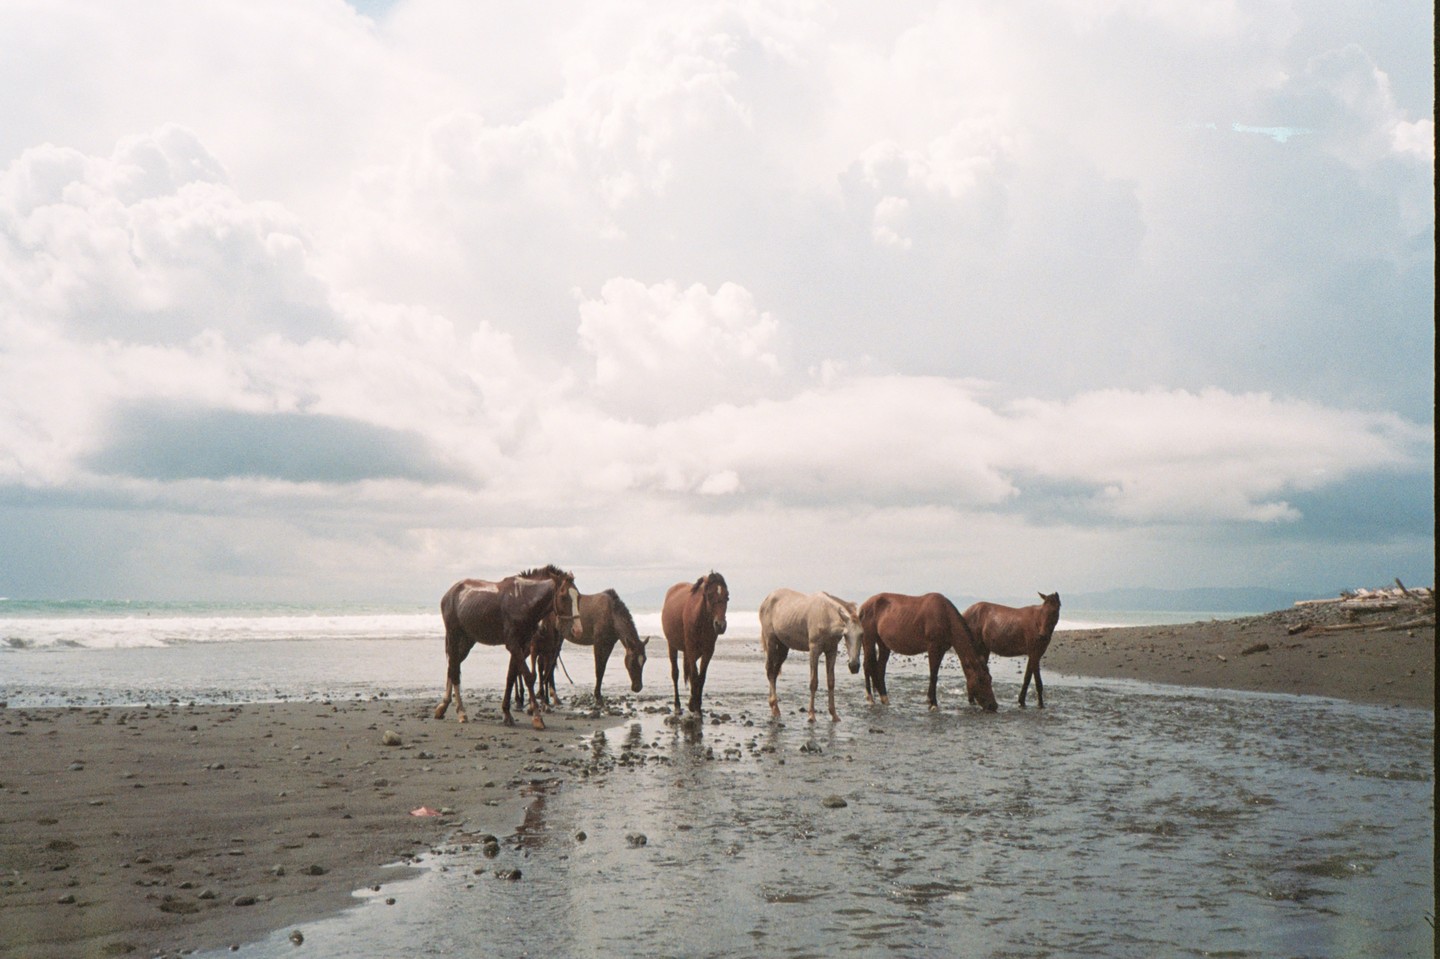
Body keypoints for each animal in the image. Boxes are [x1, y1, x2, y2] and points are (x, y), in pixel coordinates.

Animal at [434, 568, 580, 729]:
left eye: (578, 596)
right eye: (563, 596)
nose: (576, 630)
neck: (523, 600)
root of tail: (450, 593)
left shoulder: (522, 645)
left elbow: (511, 676)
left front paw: (507, 713)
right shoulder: (514, 644)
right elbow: (528, 676)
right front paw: (536, 716)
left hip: (467, 640)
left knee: (453, 666)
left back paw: (443, 706)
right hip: (454, 635)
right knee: (454, 669)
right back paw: (461, 712)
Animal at [662, 571, 729, 716]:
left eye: (727, 596)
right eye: (709, 595)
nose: (720, 625)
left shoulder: (708, 651)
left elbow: (701, 677)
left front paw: (696, 705)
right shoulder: (691, 649)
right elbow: (694, 675)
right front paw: (694, 707)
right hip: (672, 646)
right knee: (675, 673)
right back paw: (677, 705)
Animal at [759, 588, 863, 723]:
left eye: (862, 634)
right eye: (845, 634)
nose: (854, 666)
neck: (825, 615)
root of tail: (767, 598)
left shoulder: (831, 651)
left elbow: (831, 681)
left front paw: (834, 715)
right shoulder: (814, 650)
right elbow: (813, 682)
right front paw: (811, 715)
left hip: (783, 647)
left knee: (775, 672)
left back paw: (774, 707)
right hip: (771, 642)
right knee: (770, 671)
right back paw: (775, 708)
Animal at [859, 592, 998, 712]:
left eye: (990, 678)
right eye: (980, 680)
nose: (993, 705)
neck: (945, 616)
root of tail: (864, 606)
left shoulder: (941, 650)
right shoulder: (933, 648)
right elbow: (933, 675)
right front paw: (933, 703)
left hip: (883, 644)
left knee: (879, 669)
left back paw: (884, 699)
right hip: (869, 640)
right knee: (867, 666)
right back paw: (870, 698)